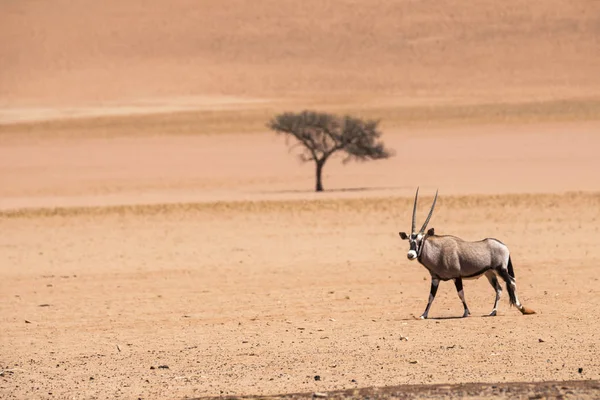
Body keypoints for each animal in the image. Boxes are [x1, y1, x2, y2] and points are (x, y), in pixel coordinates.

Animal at [398, 188, 536, 318]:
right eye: (409, 240)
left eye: (420, 240)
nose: (410, 255)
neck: (438, 252)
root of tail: (504, 245)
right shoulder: (435, 279)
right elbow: (431, 296)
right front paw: (424, 314)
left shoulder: (456, 276)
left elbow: (461, 294)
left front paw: (466, 312)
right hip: (490, 273)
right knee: (499, 289)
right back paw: (493, 311)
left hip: (500, 270)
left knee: (511, 282)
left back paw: (522, 308)